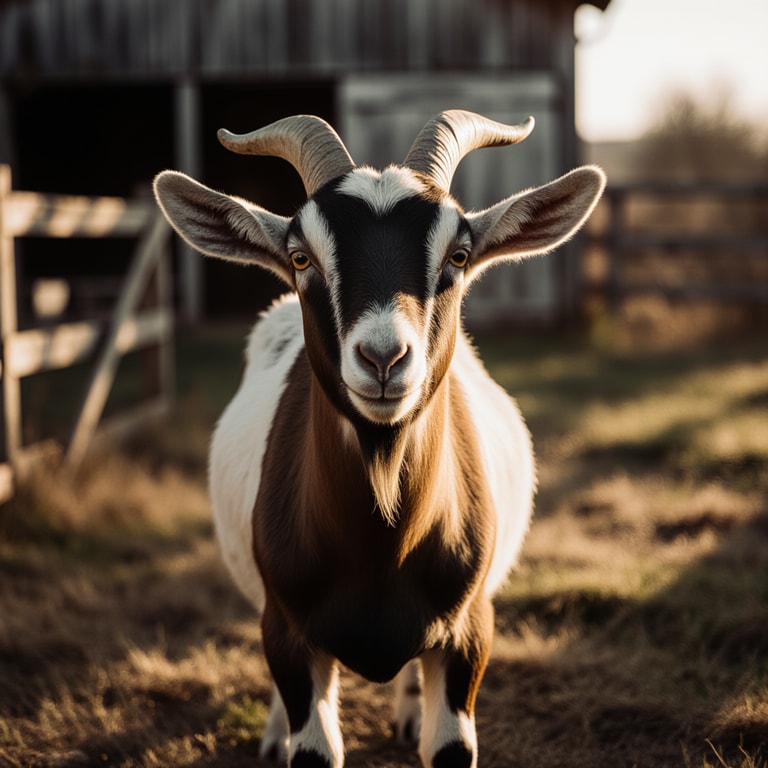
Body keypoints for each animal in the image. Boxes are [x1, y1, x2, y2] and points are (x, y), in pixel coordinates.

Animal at [154, 110, 605, 768]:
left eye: (459, 255)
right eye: (300, 257)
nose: (384, 358)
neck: (380, 547)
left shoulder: (470, 630)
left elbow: (450, 745)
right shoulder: (289, 631)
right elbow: (312, 746)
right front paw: (286, 736)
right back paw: (273, 733)